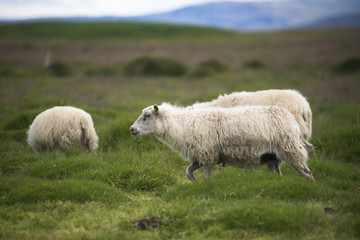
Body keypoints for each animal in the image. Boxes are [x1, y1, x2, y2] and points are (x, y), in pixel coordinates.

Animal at [130, 102, 316, 182]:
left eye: (147, 116)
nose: (131, 130)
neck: (181, 125)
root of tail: (291, 119)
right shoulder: (200, 157)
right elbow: (188, 172)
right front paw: (196, 185)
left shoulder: (207, 156)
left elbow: (206, 176)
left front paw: (207, 189)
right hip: (272, 157)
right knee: (278, 174)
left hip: (291, 150)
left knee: (307, 172)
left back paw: (311, 187)